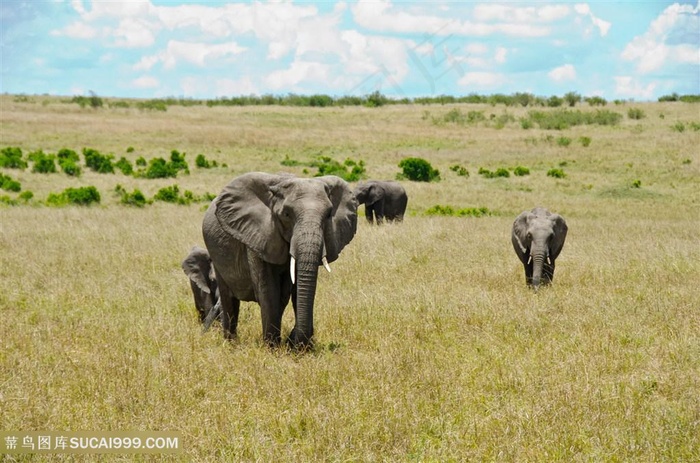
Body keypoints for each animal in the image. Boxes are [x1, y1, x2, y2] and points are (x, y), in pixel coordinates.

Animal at [201, 173, 356, 348]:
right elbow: (268, 290)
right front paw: (272, 348)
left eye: (329, 214)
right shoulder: (259, 235)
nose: (294, 341)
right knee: (229, 299)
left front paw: (297, 347)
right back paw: (231, 343)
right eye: (287, 214)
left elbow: (296, 290)